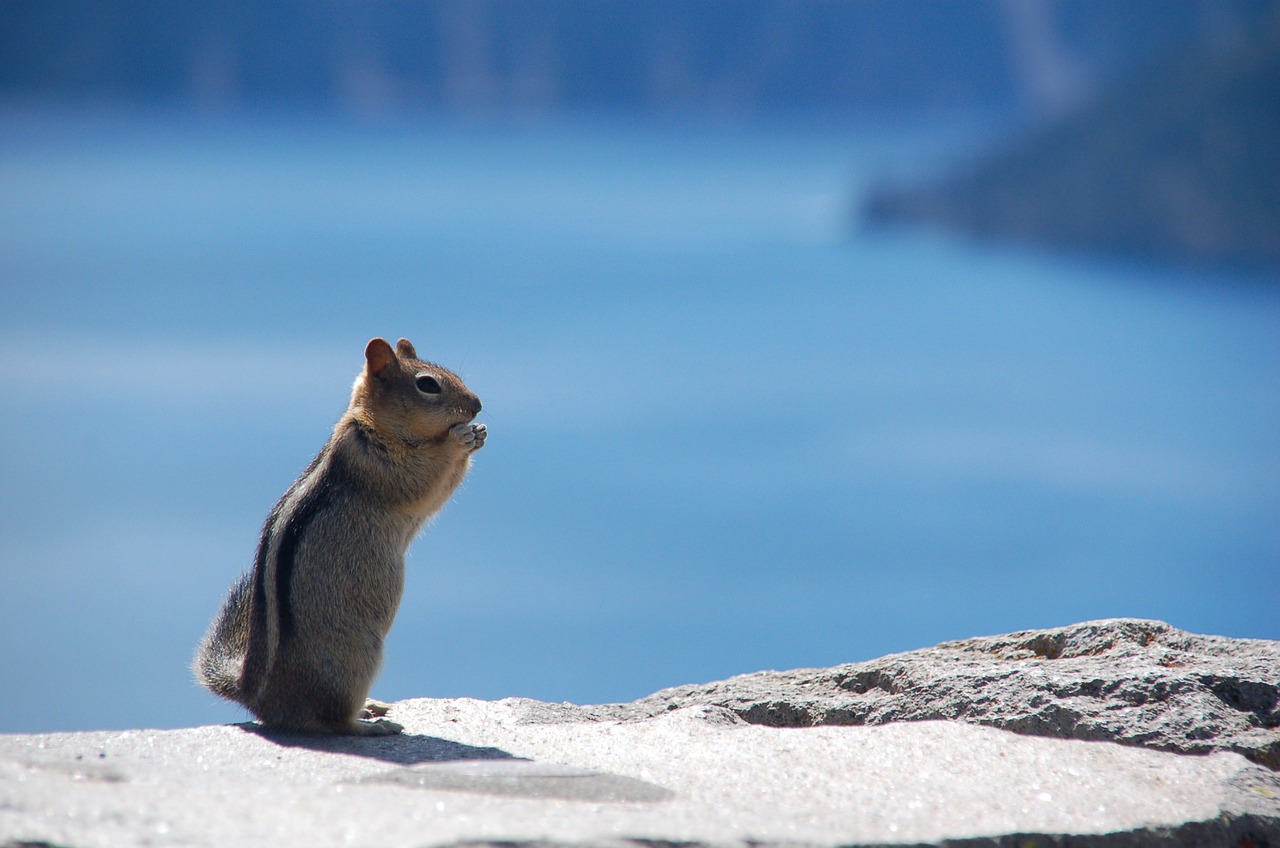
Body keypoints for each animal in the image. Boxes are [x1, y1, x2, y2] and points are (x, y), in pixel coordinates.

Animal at [193, 338, 483, 737]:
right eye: (428, 385)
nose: (477, 405)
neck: (371, 423)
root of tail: (256, 697)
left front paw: (478, 434)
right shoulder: (378, 463)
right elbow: (423, 478)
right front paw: (460, 438)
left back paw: (371, 707)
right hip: (355, 659)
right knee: (331, 720)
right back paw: (369, 725)